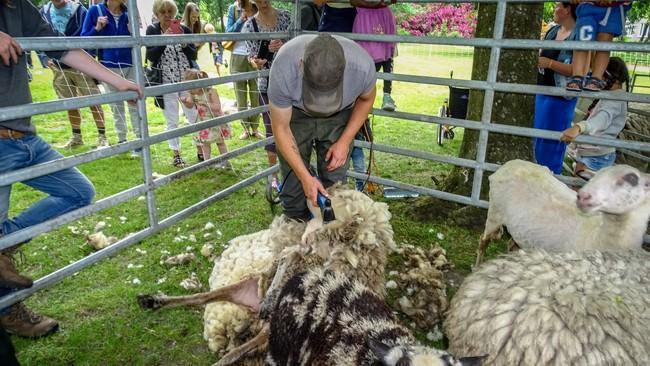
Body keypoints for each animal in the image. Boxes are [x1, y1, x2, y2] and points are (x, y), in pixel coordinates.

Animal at [470, 162, 648, 264]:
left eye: (632, 179)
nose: (582, 196)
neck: (597, 236)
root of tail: (510, 163)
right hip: (495, 212)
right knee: (483, 241)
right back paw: (477, 266)